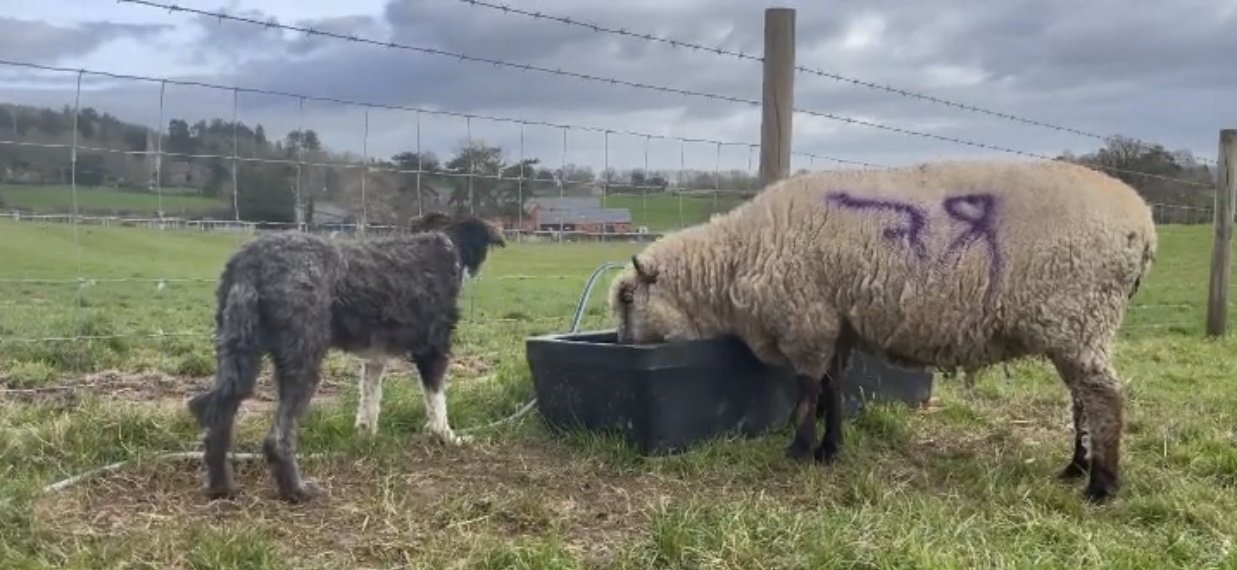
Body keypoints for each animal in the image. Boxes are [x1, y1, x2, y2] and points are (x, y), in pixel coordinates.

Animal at [185, 212, 504, 501]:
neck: (444, 246)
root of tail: (250, 263)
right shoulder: (434, 351)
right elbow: (437, 403)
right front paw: (447, 437)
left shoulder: (375, 357)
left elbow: (370, 400)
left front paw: (367, 436)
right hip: (302, 362)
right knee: (277, 438)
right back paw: (296, 491)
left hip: (238, 353)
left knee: (216, 417)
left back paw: (221, 487)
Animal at [608, 159, 1157, 501]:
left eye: (628, 299)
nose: (623, 349)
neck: (736, 259)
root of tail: (1145, 222)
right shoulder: (836, 326)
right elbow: (833, 389)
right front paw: (830, 449)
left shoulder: (807, 321)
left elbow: (807, 390)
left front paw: (798, 450)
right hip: (1075, 327)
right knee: (1082, 398)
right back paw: (1076, 467)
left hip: (1080, 313)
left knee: (1105, 397)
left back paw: (1102, 487)